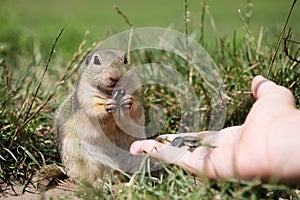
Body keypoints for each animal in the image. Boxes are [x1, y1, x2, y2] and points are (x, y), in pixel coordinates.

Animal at [56, 49, 146, 187]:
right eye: (96, 60)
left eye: (125, 59)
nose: (115, 77)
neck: (110, 93)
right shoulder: (86, 96)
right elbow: (95, 111)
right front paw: (106, 106)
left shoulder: (136, 91)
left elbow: (135, 108)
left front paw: (128, 101)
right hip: (86, 159)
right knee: (90, 177)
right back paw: (100, 184)